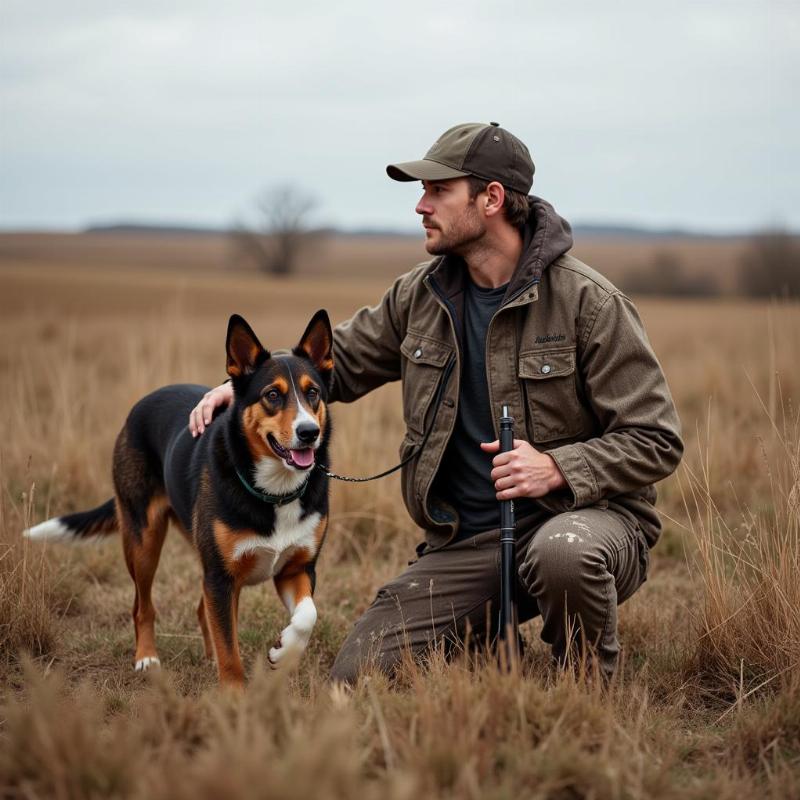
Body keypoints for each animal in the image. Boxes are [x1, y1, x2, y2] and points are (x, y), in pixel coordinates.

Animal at [24, 312, 332, 688]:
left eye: (312, 393)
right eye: (272, 395)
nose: (309, 433)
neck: (275, 491)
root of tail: (145, 401)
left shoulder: (296, 568)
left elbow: (307, 615)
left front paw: (285, 652)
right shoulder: (220, 577)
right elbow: (229, 649)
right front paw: (235, 695)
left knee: (203, 610)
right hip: (143, 542)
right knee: (142, 606)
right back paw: (146, 658)